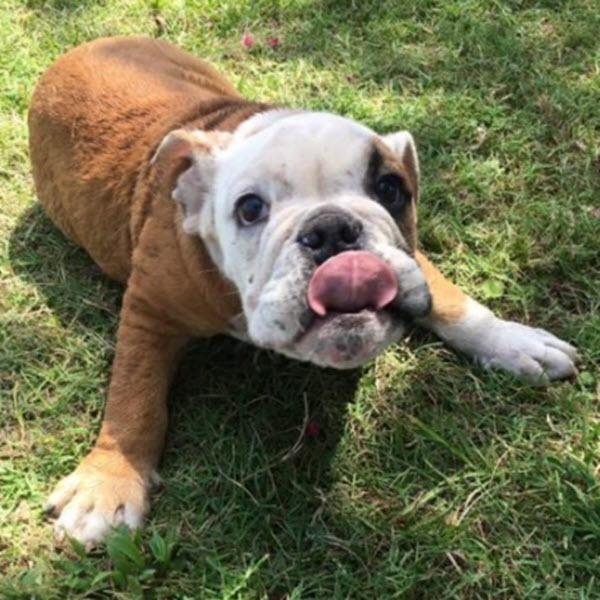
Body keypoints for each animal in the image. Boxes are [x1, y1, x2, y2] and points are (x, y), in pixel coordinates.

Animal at [28, 35, 576, 548]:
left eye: (391, 188)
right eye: (250, 208)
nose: (332, 229)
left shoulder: (409, 255)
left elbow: (447, 298)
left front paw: (512, 341)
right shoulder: (149, 307)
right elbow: (134, 392)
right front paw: (109, 482)